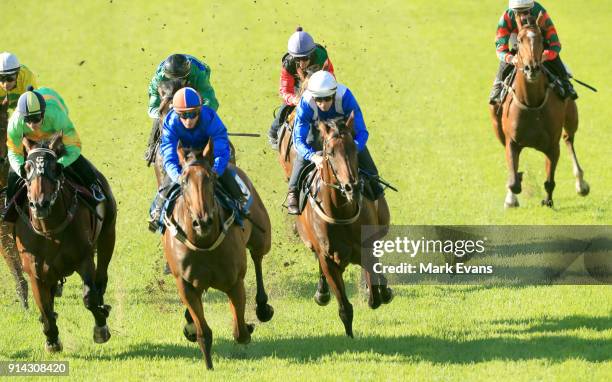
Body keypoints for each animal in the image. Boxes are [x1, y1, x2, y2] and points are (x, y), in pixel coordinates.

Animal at [14, 134, 117, 352]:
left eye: (56, 168)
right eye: (27, 168)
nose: (40, 204)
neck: (49, 231)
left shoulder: (83, 258)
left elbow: (89, 298)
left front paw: (101, 327)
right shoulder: (35, 272)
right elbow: (44, 307)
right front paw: (52, 339)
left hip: (108, 232)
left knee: (101, 276)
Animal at [165, 145, 274, 368]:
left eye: (211, 178)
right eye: (183, 181)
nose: (202, 221)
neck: (204, 244)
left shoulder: (234, 282)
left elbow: (240, 332)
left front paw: (248, 327)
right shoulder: (186, 286)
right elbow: (203, 332)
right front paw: (208, 365)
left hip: (262, 237)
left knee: (257, 257)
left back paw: (262, 307)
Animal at [296, 116, 392, 338]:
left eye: (354, 149)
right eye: (330, 152)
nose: (352, 187)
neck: (340, 212)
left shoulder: (365, 247)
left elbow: (374, 292)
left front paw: (379, 290)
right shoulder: (328, 259)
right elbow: (344, 307)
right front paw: (349, 336)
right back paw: (322, 293)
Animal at [488, 12, 588, 209]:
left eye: (541, 39)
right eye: (519, 40)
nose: (532, 68)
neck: (532, 103)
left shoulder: (552, 146)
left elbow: (549, 180)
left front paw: (547, 201)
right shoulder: (512, 142)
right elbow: (513, 181)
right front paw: (512, 195)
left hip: (571, 117)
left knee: (569, 139)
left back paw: (581, 184)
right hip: (497, 125)